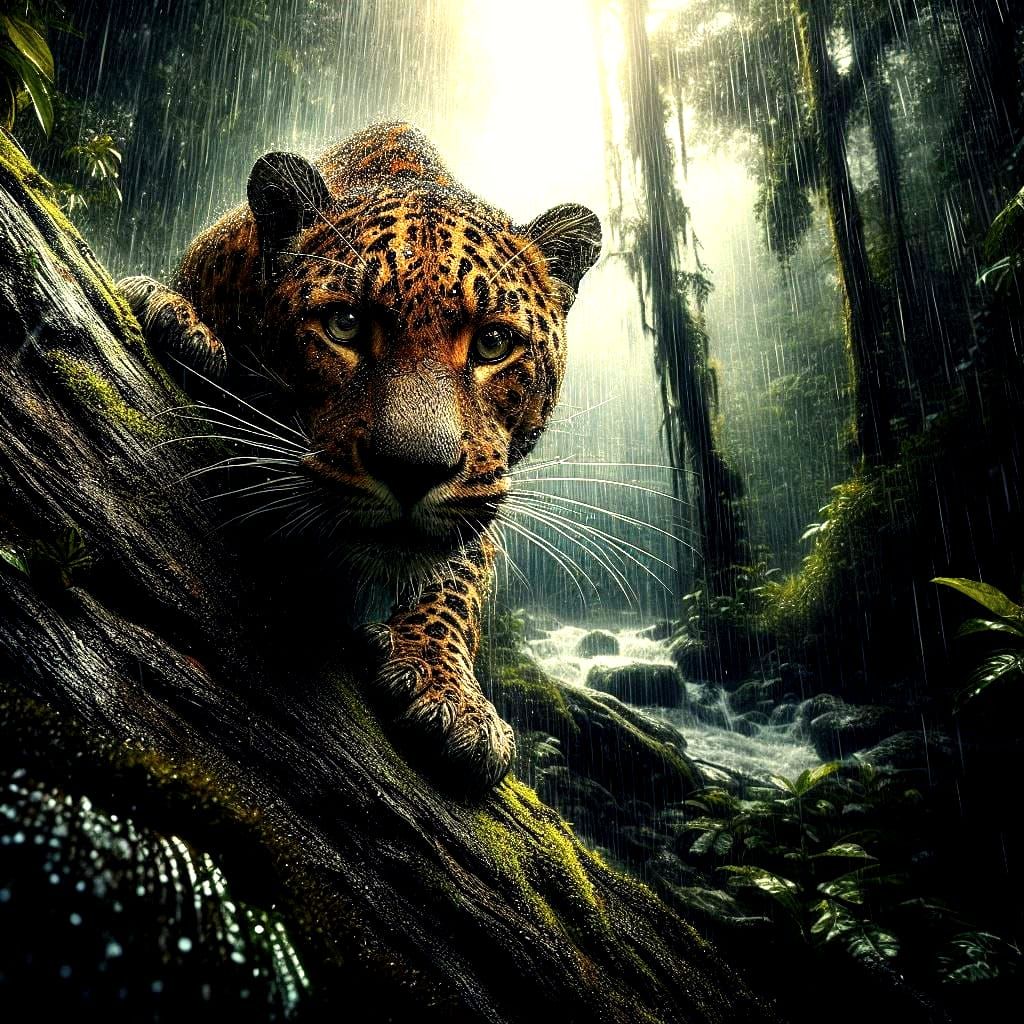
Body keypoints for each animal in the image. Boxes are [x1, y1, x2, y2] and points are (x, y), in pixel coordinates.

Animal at [118, 121, 601, 792]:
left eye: (493, 343)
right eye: (344, 325)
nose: (413, 470)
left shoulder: (483, 492)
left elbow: (459, 583)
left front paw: (450, 693)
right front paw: (175, 312)